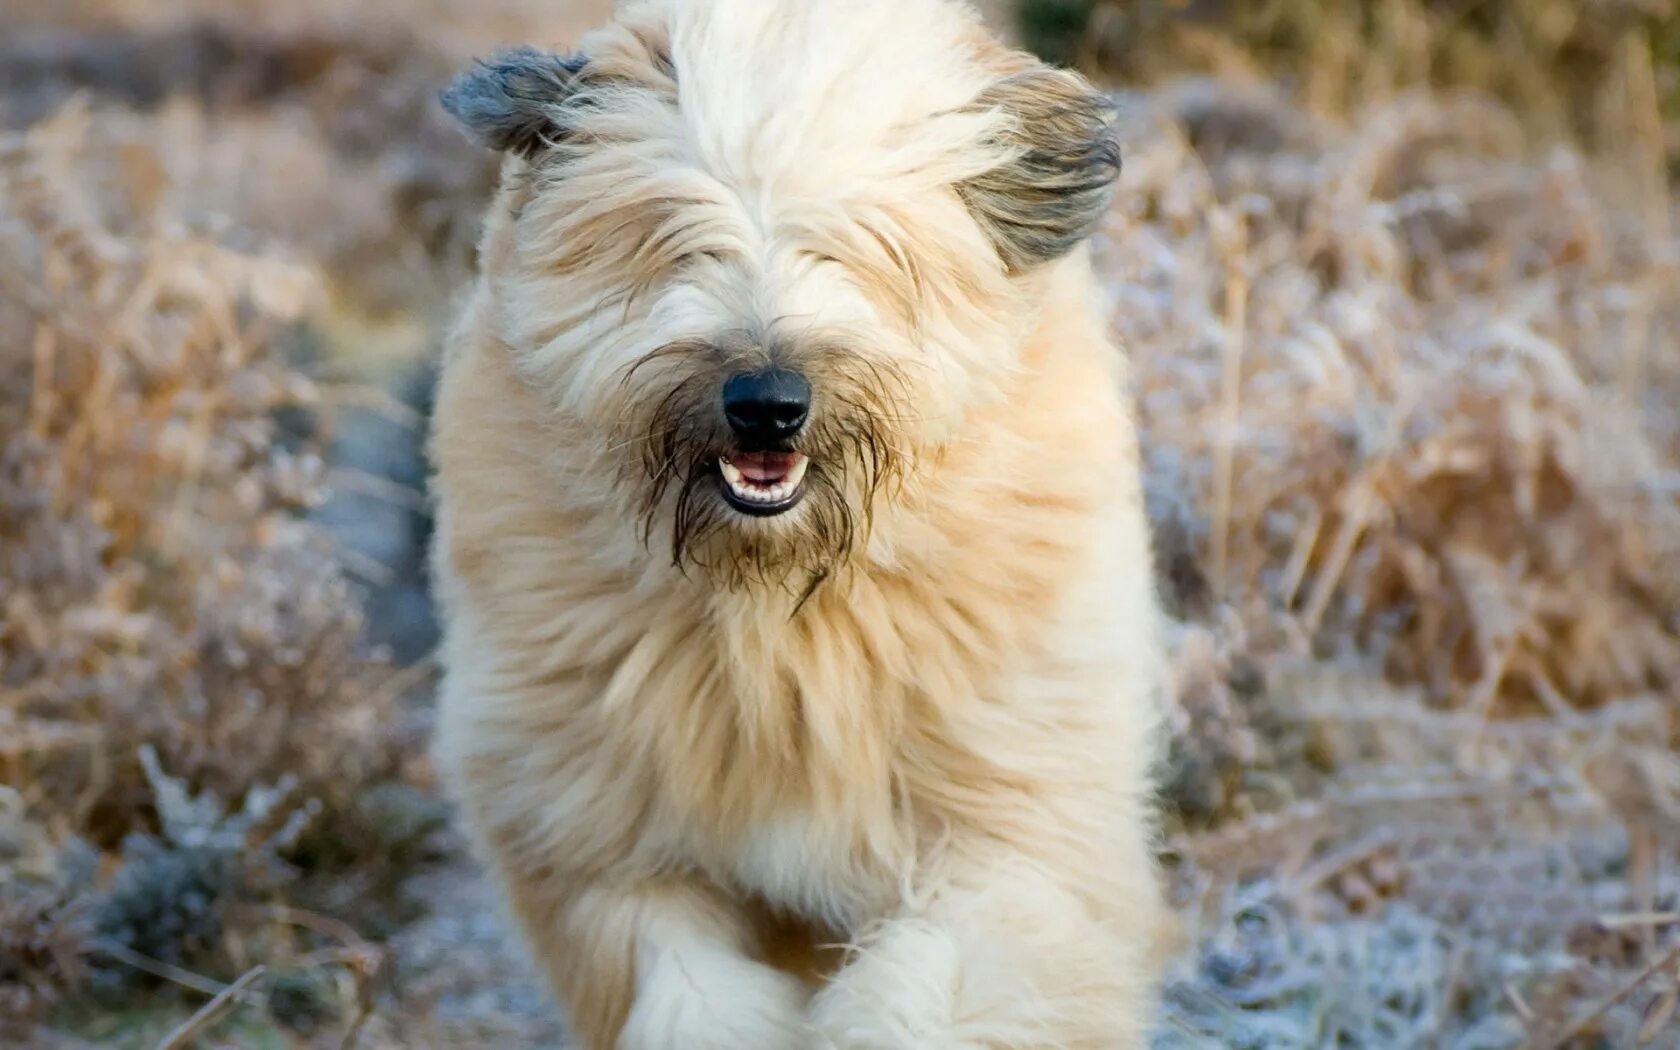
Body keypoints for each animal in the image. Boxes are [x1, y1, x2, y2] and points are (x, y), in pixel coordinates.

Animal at [430, 4, 1169, 1041]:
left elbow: (944, 984)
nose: (767, 404)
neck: (782, 610)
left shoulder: (1012, 834)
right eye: (675, 239)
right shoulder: (610, 850)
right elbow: (685, 989)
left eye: (863, 248)